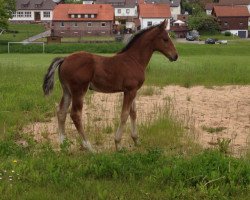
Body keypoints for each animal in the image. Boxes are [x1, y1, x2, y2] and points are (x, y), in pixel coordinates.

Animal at [44, 19, 179, 152]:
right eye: (165, 39)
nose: (175, 56)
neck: (134, 60)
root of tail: (64, 59)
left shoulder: (134, 90)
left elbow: (133, 113)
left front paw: (136, 140)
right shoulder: (129, 91)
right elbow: (124, 114)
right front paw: (118, 144)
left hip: (67, 90)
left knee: (61, 112)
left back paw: (64, 145)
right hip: (79, 90)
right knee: (75, 114)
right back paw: (89, 147)